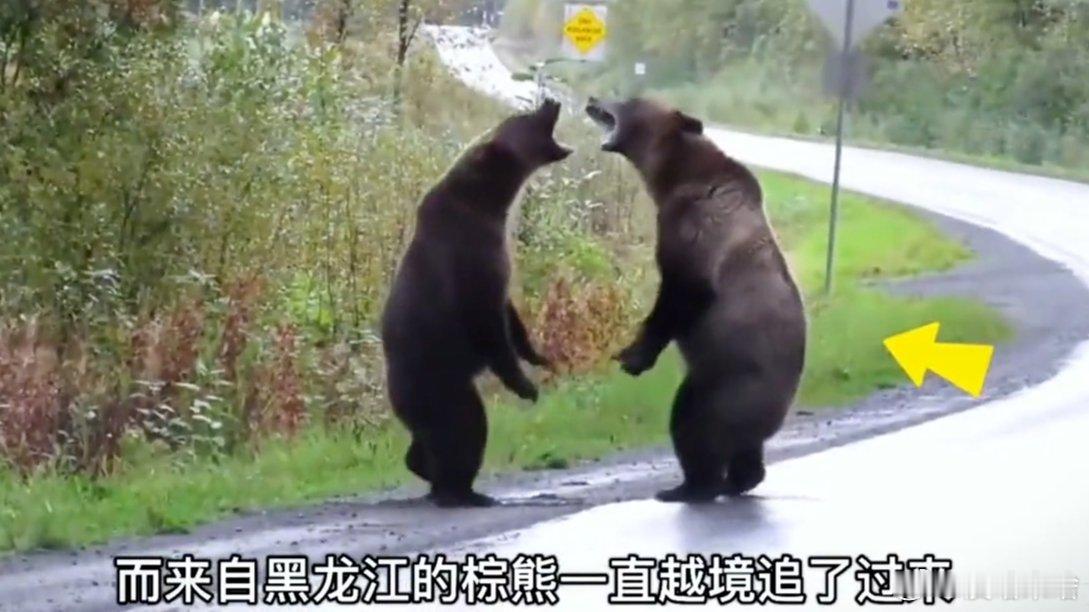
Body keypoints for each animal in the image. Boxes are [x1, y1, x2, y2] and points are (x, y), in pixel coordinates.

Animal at [381, 99, 571, 508]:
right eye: (523, 117)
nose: (550, 101)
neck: (488, 201)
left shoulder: (497, 262)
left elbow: (509, 313)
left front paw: (538, 355)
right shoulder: (471, 260)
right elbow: (489, 324)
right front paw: (526, 385)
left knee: (429, 440)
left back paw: (426, 469)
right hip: (437, 381)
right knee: (464, 427)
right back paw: (461, 490)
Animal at [585, 97, 806, 502]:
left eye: (629, 100)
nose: (594, 100)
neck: (674, 175)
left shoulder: (693, 226)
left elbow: (683, 291)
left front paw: (633, 355)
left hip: (729, 378)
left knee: (692, 420)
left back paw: (689, 486)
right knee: (744, 447)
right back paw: (740, 479)